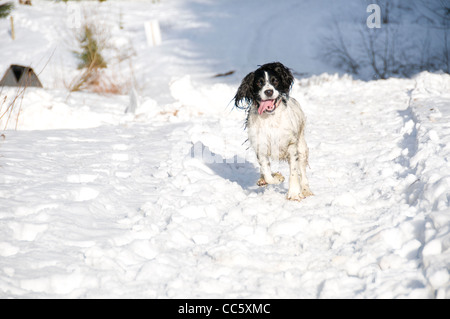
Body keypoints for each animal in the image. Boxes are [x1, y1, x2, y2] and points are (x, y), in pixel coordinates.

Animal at [236, 62, 312, 201]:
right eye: (259, 82)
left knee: (302, 170)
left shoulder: (291, 145)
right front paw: (277, 177)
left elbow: (294, 171)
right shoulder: (260, 146)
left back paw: (306, 190)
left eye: (275, 80)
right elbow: (267, 173)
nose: (268, 91)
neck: (270, 118)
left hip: (302, 147)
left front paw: (294, 193)